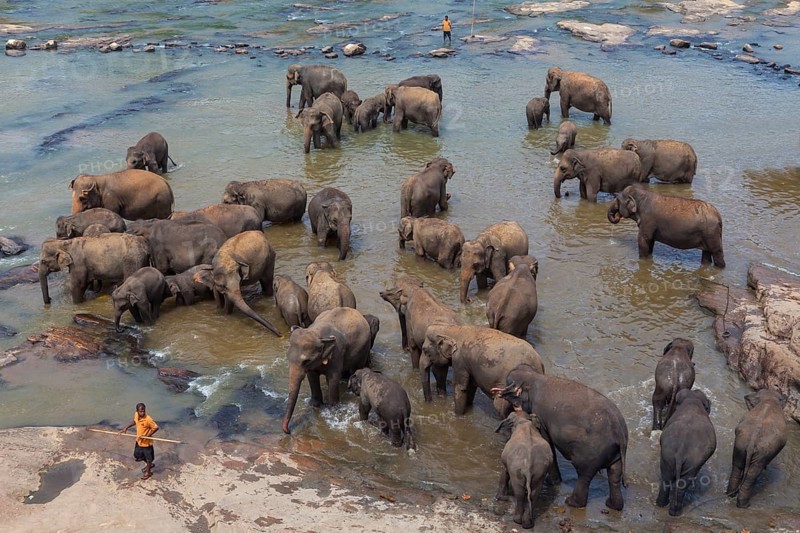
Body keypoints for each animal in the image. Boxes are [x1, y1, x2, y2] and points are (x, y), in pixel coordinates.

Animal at [496, 364, 629, 510]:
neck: (535, 377)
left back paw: (571, 502)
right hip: (615, 453)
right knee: (614, 475)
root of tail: (619, 432)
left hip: (592, 452)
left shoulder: (540, 415)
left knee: (584, 474)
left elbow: (546, 439)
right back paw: (612, 505)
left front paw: (552, 482)